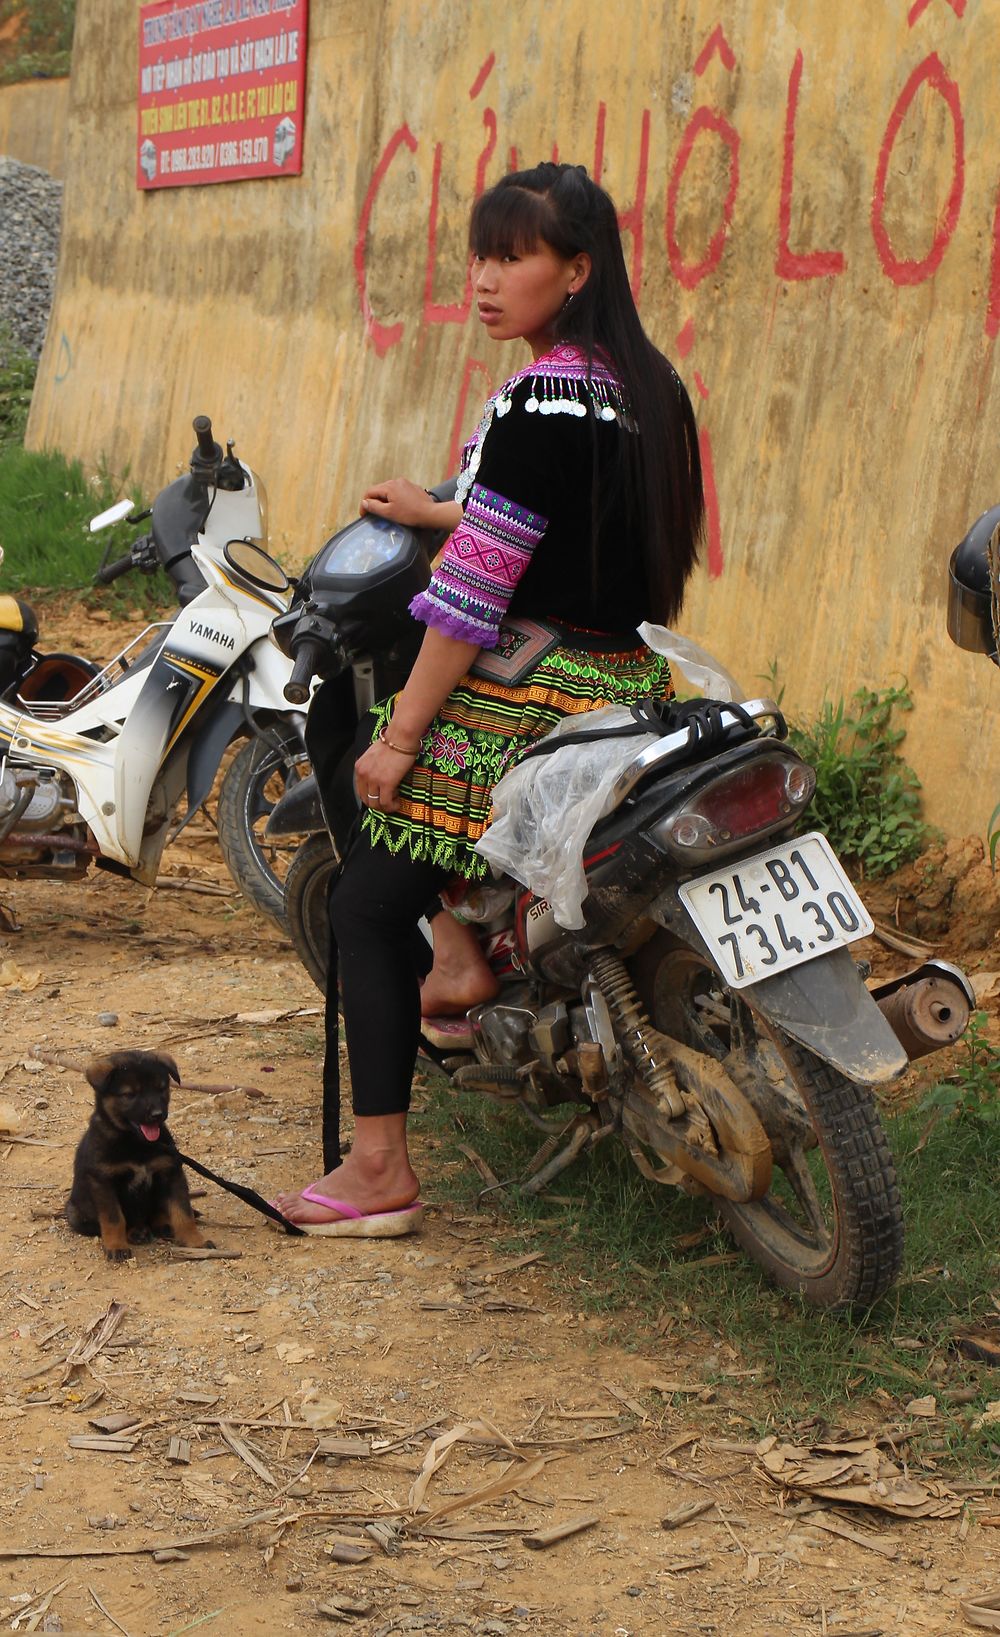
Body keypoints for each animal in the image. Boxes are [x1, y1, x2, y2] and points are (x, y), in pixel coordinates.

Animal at [63, 1047, 212, 1263]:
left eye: (161, 1089)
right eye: (129, 1094)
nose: (157, 1115)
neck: (136, 1144)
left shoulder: (171, 1172)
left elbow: (183, 1213)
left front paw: (195, 1242)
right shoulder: (103, 1181)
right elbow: (114, 1219)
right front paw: (116, 1246)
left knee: (157, 1213)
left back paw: (163, 1225)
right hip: (76, 1213)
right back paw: (136, 1233)